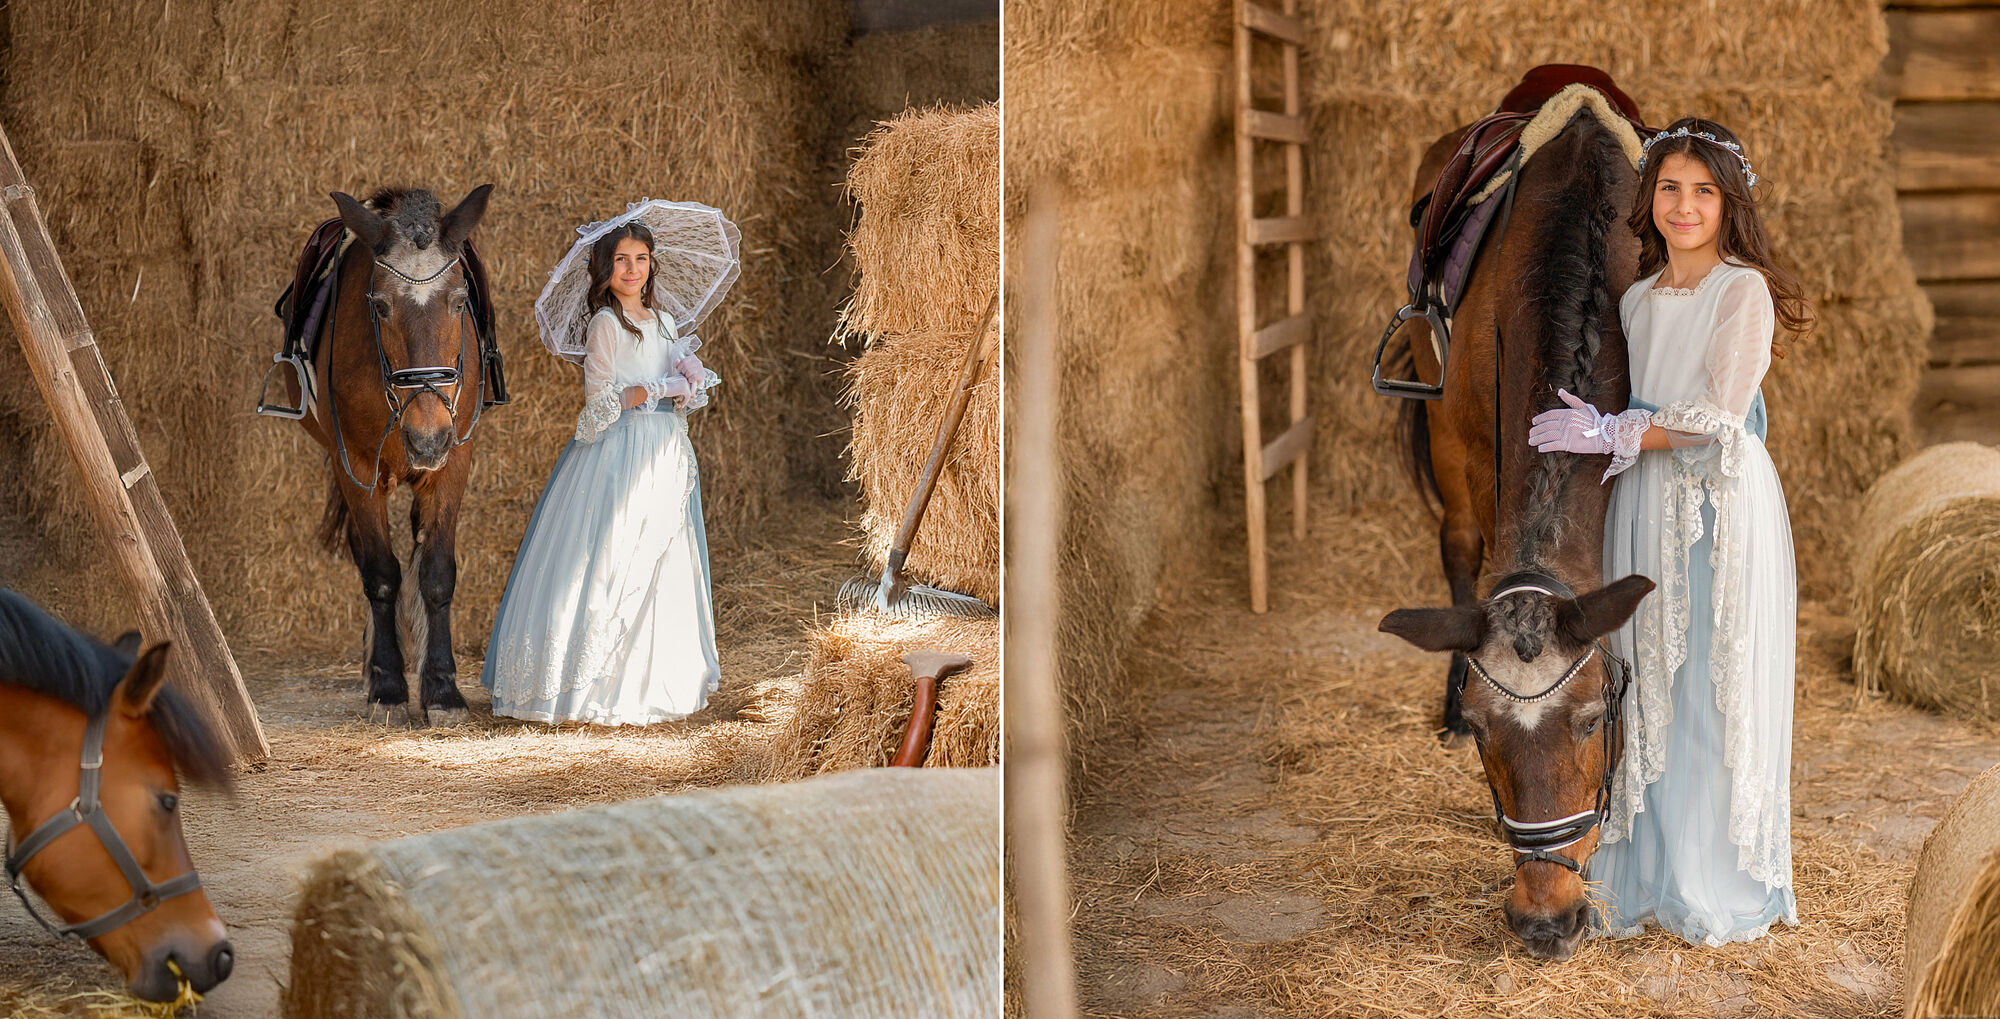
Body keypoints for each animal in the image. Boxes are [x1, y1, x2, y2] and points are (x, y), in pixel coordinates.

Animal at [292, 185, 493, 726]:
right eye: (380, 307)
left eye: (460, 301)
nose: (426, 439)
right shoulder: (356, 467)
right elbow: (381, 574)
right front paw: (388, 685)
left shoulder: (454, 462)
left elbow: (437, 574)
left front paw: (442, 688)